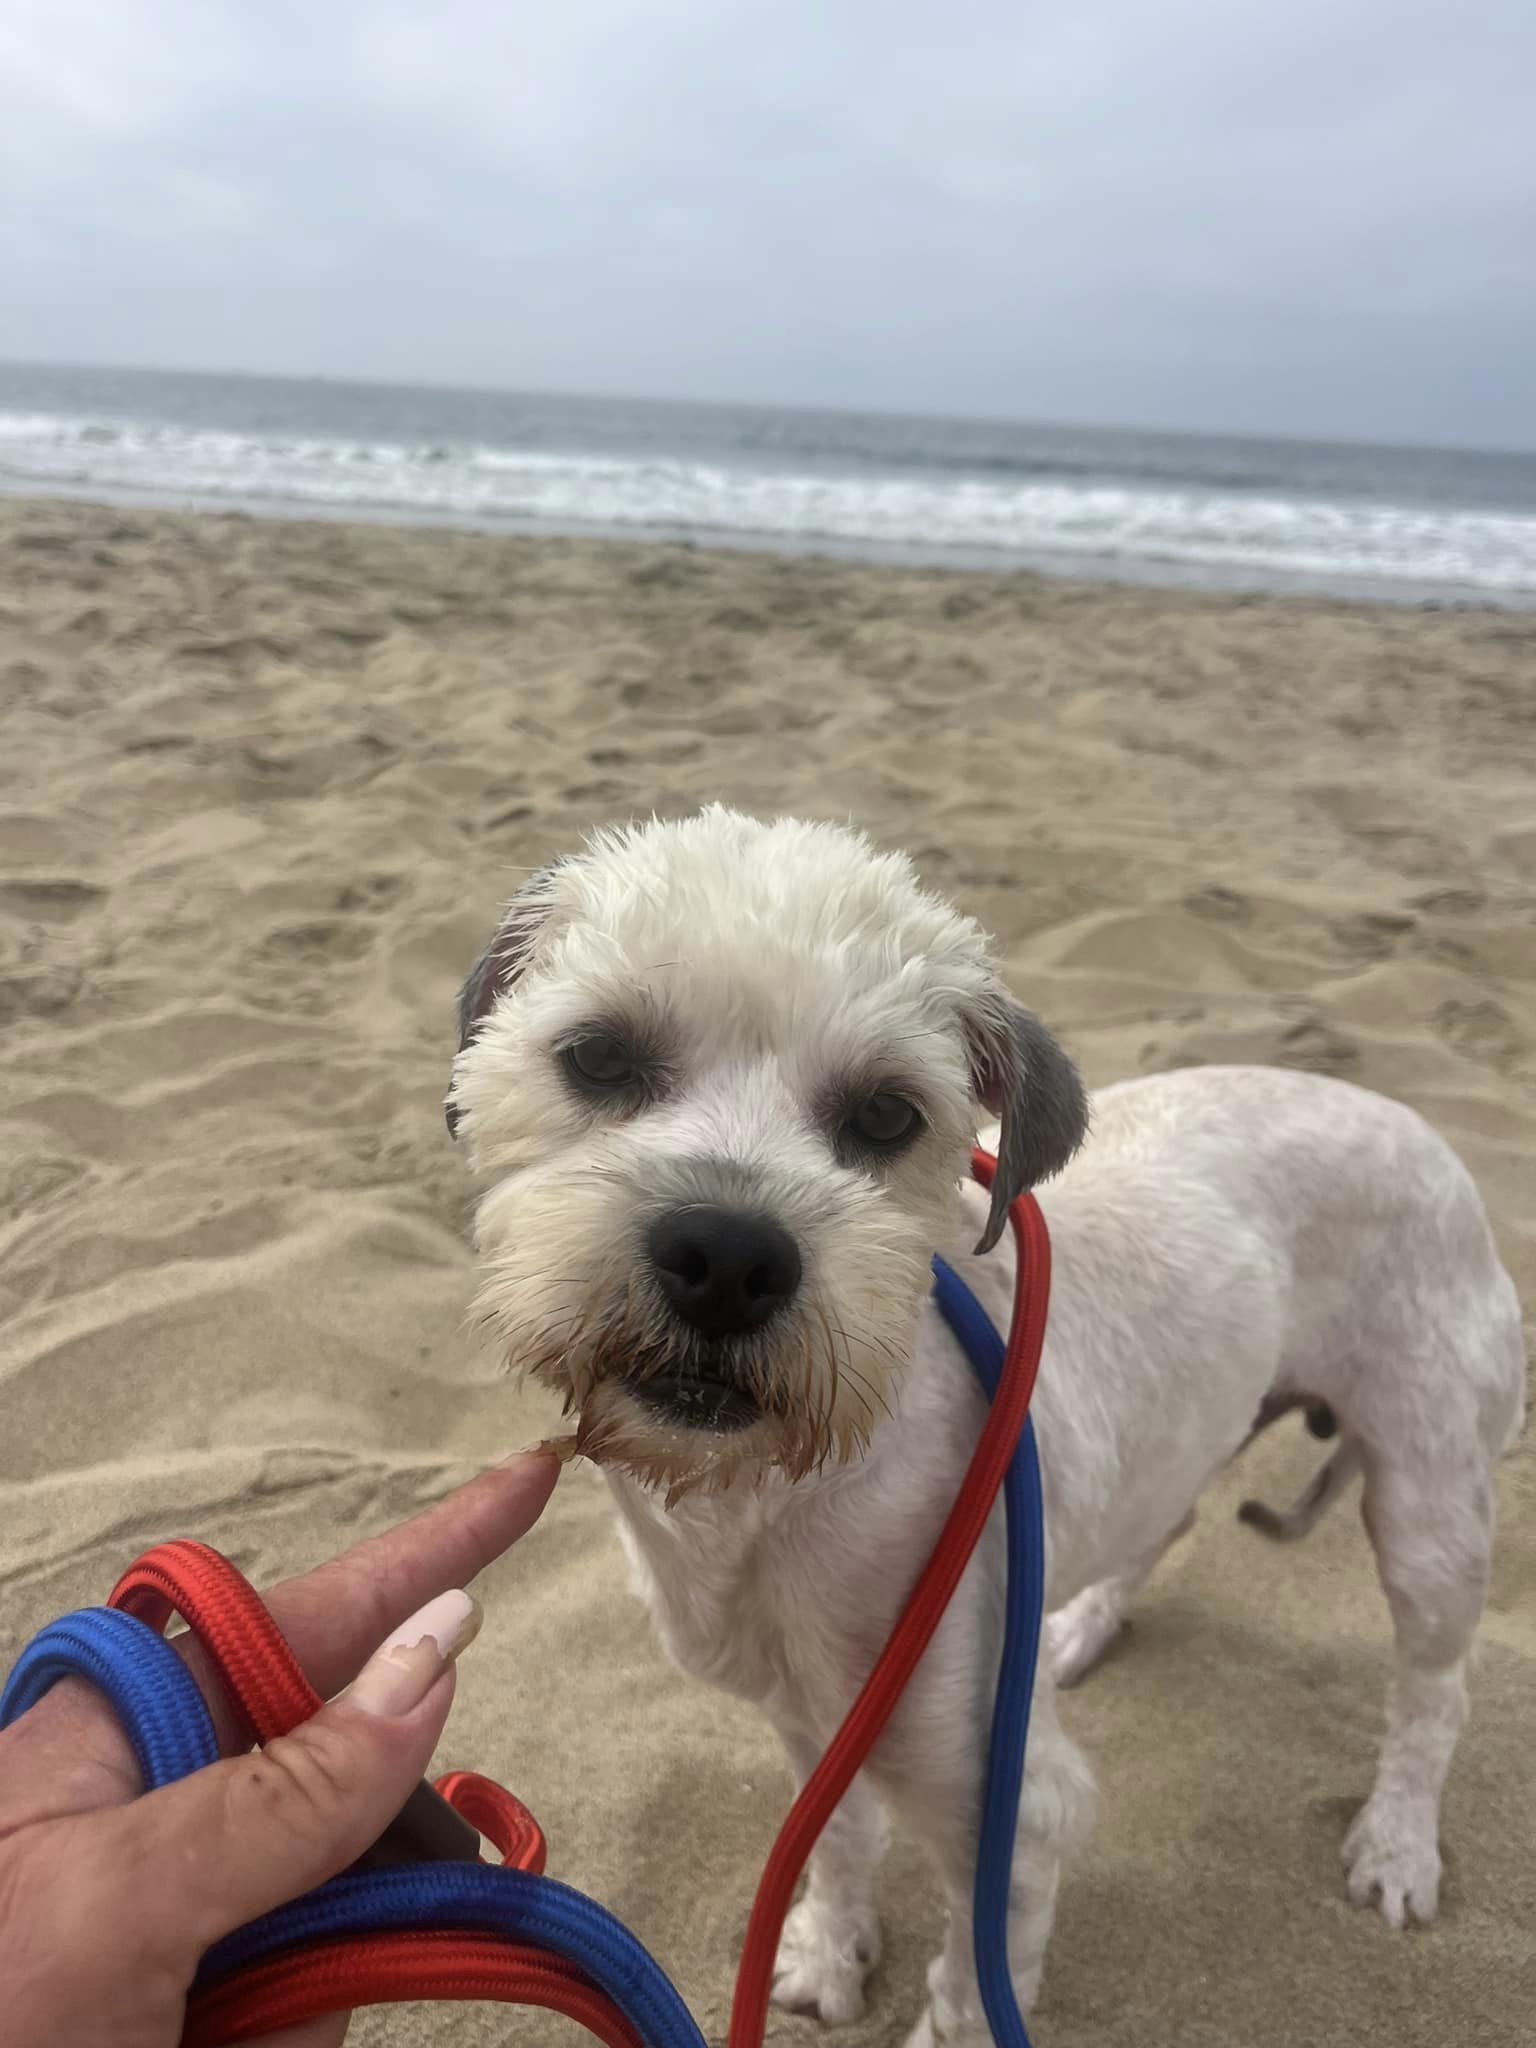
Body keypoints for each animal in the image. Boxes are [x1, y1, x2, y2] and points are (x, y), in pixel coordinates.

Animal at [444, 806, 1531, 2039]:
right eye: (598, 1056)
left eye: (885, 1115)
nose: (726, 1256)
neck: (782, 1493)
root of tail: (1427, 1134)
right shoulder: (814, 1726)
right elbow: (835, 1839)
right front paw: (825, 1950)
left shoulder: (1014, 1817)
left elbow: (969, 1993)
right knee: (1165, 1519)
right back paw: (1078, 1629)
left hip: (1430, 1512)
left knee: (1435, 1691)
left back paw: (1397, 1843)